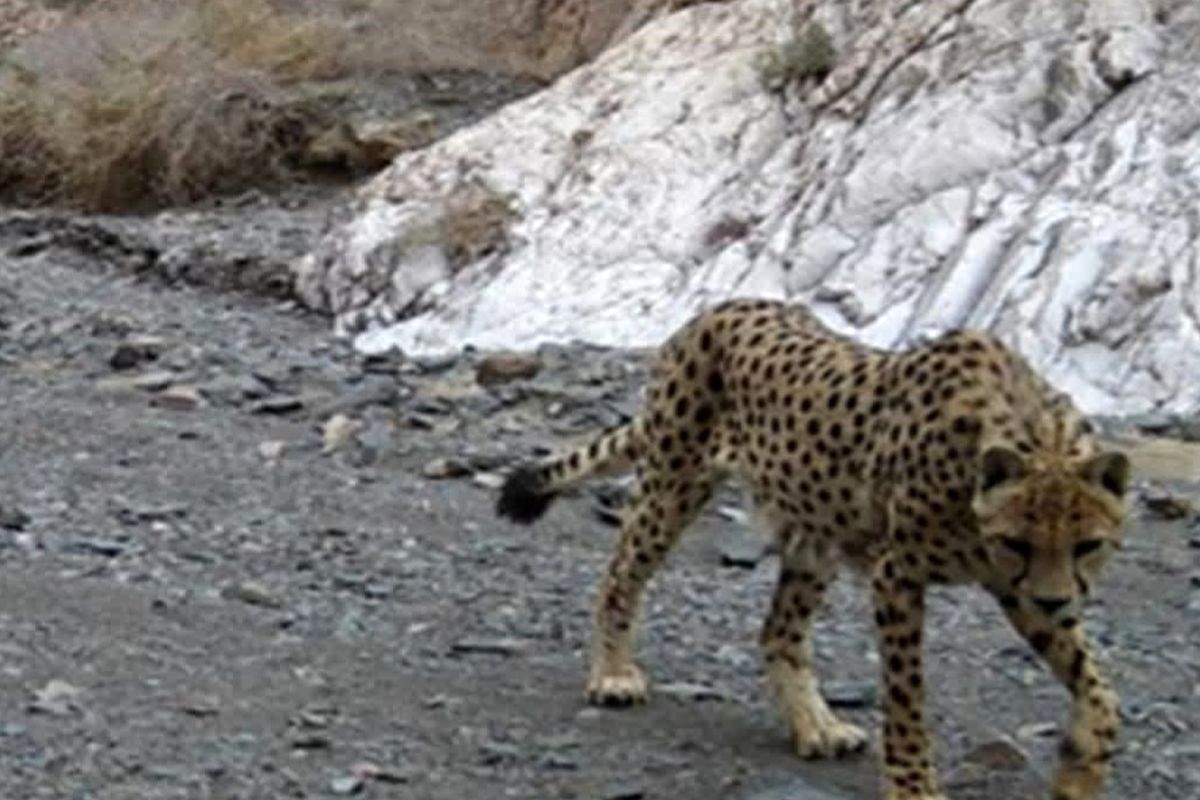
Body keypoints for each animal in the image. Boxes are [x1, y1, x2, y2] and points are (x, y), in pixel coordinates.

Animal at [492, 299, 1128, 800]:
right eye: (1017, 541)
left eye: (1088, 545)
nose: (1056, 600)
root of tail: (718, 307)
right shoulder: (899, 575)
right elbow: (905, 698)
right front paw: (913, 786)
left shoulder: (1020, 591)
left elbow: (1098, 686)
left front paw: (1080, 768)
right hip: (674, 485)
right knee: (621, 573)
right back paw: (614, 675)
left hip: (817, 531)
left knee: (778, 630)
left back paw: (816, 726)